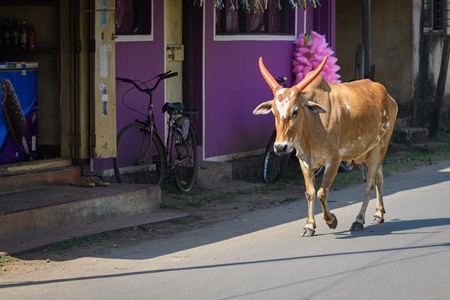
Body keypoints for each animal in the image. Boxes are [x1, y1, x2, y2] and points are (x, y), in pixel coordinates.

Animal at [253, 56, 398, 237]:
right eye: (273, 112)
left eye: (295, 111)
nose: (280, 147)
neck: (312, 125)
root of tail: (388, 97)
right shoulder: (304, 161)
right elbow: (310, 193)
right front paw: (309, 226)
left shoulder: (333, 160)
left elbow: (322, 192)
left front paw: (331, 220)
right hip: (365, 152)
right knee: (379, 176)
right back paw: (378, 214)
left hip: (381, 146)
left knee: (369, 184)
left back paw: (358, 220)